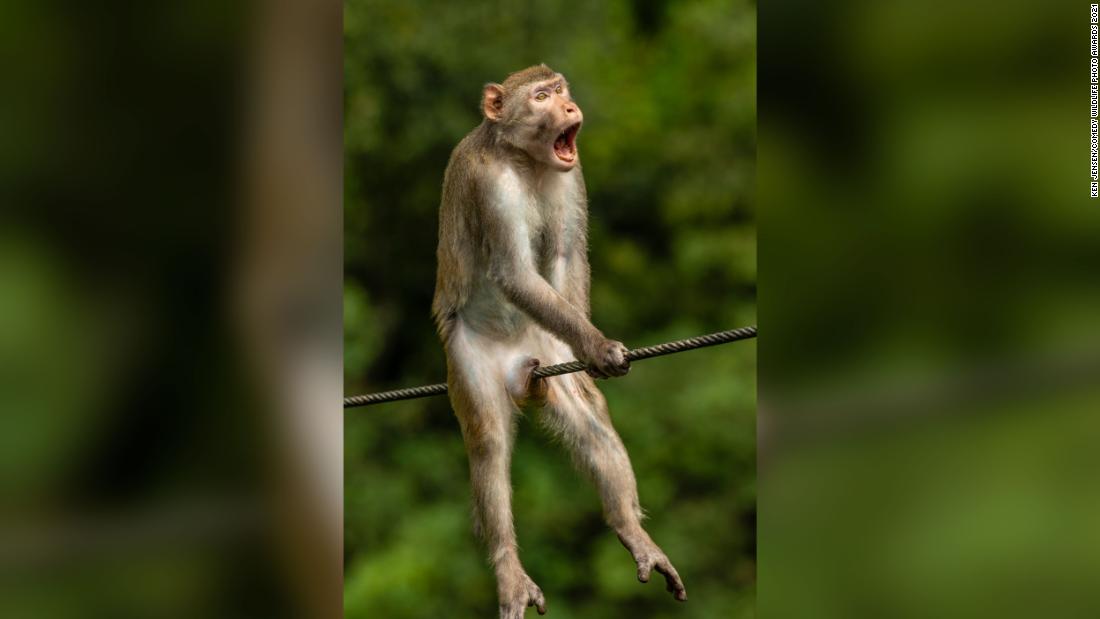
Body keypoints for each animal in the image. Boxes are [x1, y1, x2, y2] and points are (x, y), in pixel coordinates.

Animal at [432, 65, 687, 618]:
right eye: (542, 96)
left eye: (562, 91)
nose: (568, 108)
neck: (524, 160)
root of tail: (517, 367)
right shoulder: (489, 182)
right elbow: (514, 273)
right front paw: (598, 347)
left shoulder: (573, 174)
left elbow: (568, 255)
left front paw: (589, 351)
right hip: (468, 359)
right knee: (488, 441)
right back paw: (509, 569)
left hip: (545, 348)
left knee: (589, 421)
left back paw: (632, 531)